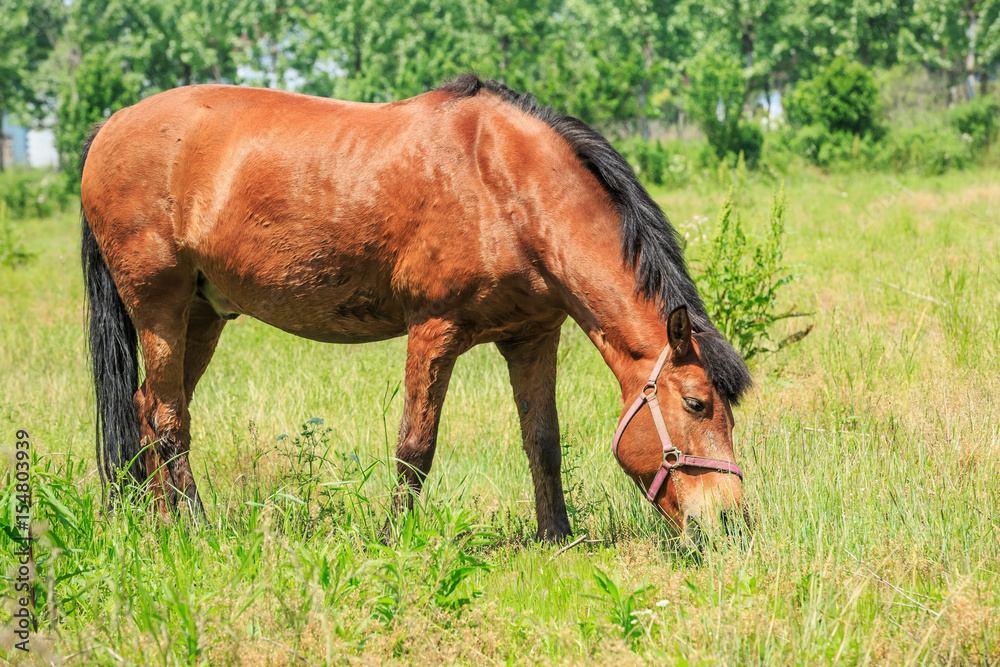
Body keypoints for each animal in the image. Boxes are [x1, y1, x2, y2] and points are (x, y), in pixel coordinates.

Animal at [80, 74, 752, 544]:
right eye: (697, 404)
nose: (733, 524)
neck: (503, 181)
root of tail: (109, 129)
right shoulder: (434, 331)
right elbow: (415, 447)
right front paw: (390, 538)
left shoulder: (533, 337)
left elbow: (543, 441)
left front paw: (557, 537)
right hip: (158, 306)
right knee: (169, 421)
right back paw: (193, 527)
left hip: (202, 314)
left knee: (147, 409)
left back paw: (157, 524)